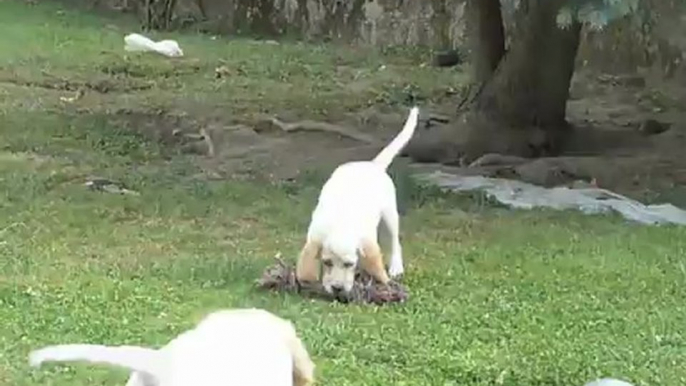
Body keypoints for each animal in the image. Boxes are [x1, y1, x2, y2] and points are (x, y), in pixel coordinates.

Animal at [298, 105, 422, 296]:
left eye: (349, 264)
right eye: (327, 263)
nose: (337, 289)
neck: (340, 221)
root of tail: (373, 164)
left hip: (390, 213)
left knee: (395, 241)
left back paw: (396, 267)